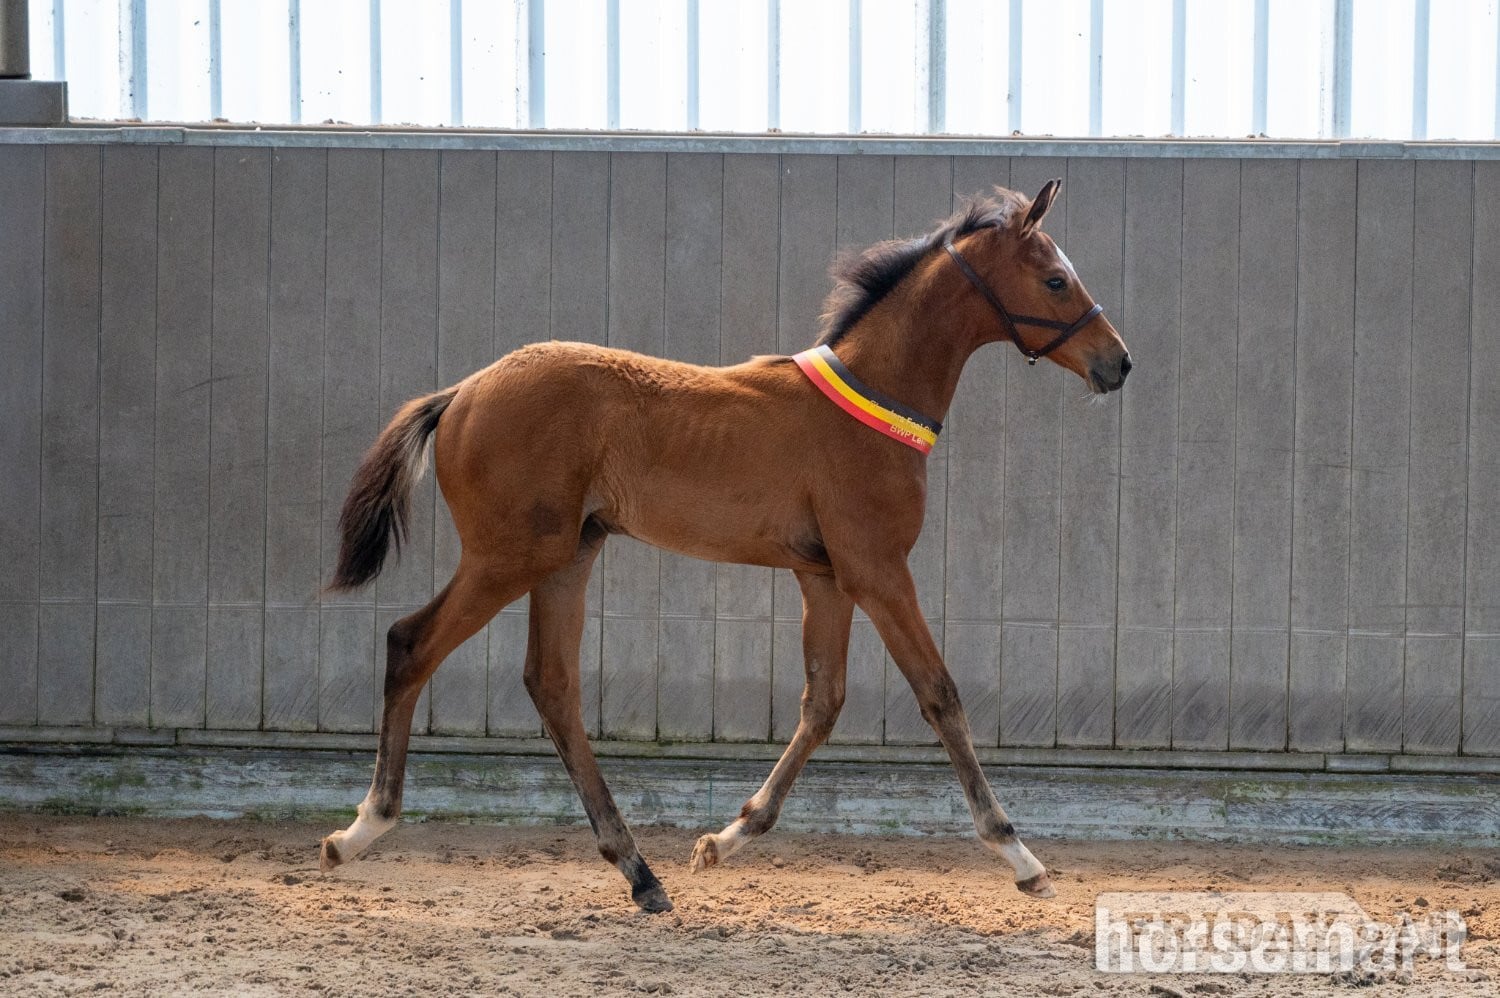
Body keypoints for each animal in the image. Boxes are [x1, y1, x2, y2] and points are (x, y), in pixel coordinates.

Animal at [318, 180, 1131, 913]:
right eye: (1056, 279)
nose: (1118, 362)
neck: (870, 402)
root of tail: (460, 393)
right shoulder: (877, 569)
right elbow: (939, 695)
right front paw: (1019, 855)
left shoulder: (826, 579)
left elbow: (823, 702)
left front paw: (725, 838)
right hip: (508, 557)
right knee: (411, 644)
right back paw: (362, 830)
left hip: (567, 557)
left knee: (553, 687)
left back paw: (639, 872)